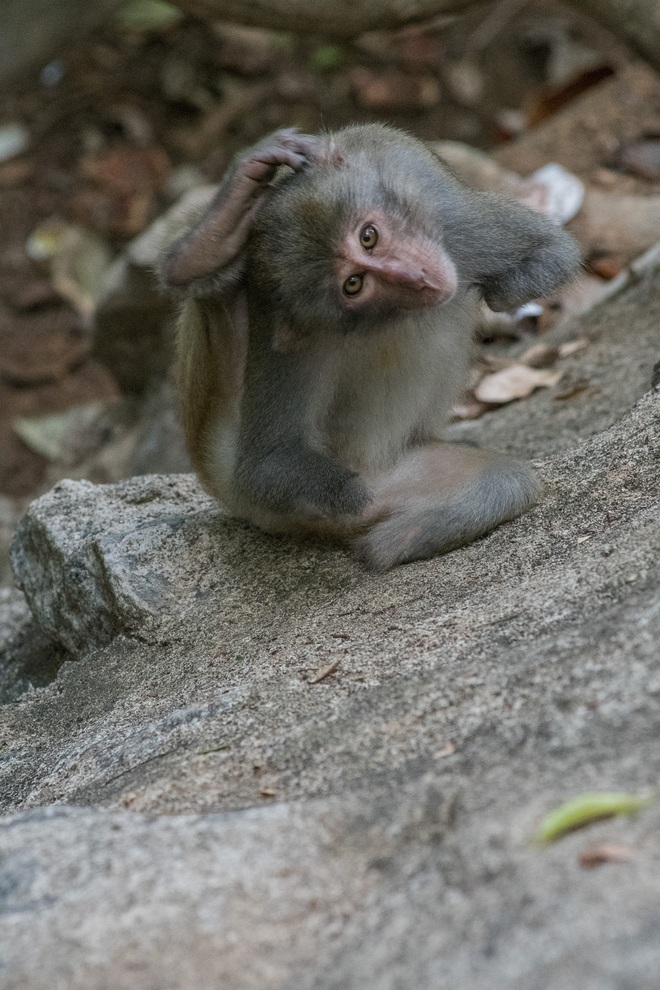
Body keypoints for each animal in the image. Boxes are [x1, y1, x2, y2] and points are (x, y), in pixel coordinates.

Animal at [157, 126, 580, 572]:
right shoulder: (281, 327)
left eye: (368, 236)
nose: (417, 278)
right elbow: (267, 465)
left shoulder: (429, 192)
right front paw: (349, 497)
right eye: (354, 284)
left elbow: (551, 251)